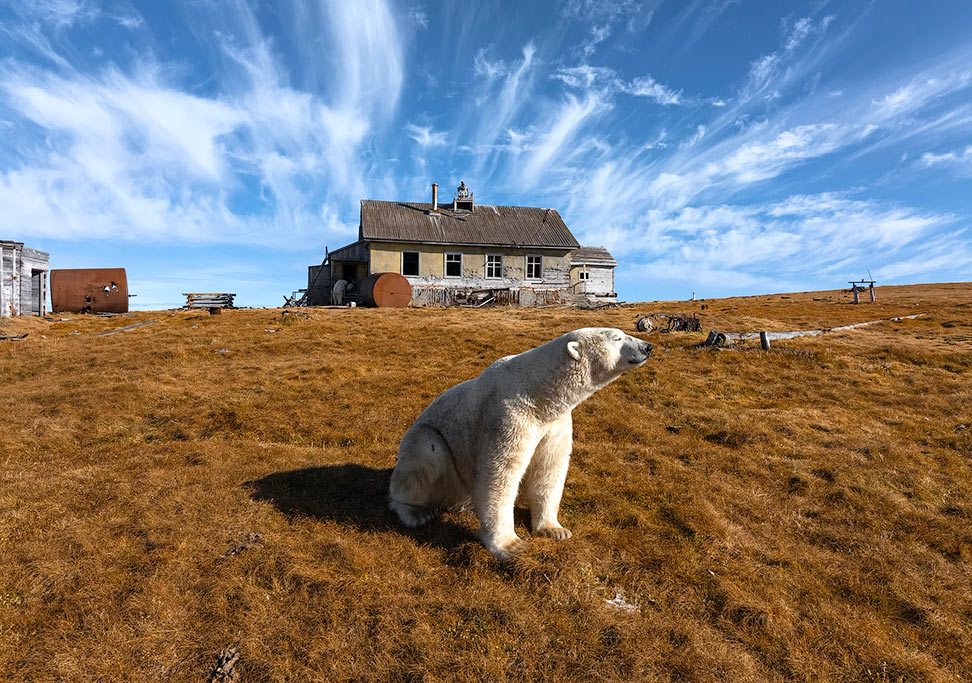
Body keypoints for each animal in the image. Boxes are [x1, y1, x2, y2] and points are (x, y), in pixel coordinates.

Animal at [388, 327, 653, 560]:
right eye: (617, 338)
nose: (647, 347)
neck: (540, 393)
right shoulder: (509, 416)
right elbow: (501, 474)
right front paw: (511, 545)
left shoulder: (555, 423)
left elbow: (549, 469)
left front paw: (555, 530)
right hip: (431, 450)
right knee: (423, 458)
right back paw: (416, 513)